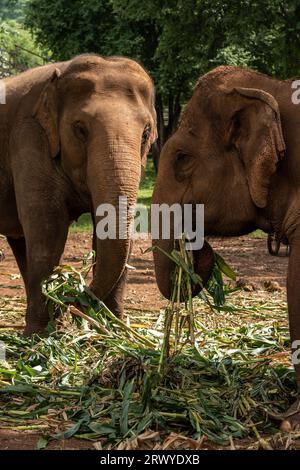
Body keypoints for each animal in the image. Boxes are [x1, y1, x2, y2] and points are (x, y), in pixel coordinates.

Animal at [0, 54, 157, 334]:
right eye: (80, 129)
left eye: (146, 132)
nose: (72, 302)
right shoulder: (29, 136)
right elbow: (48, 229)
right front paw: (42, 335)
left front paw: (114, 329)